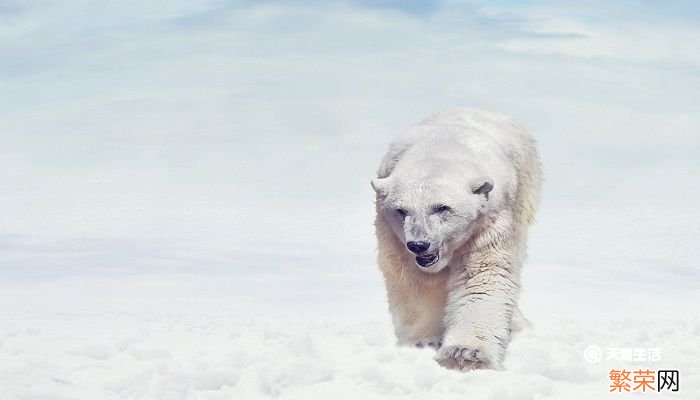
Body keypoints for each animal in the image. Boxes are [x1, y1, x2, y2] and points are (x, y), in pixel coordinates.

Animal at [372, 108, 540, 370]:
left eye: (442, 207)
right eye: (401, 210)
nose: (419, 244)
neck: (442, 149)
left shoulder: (490, 220)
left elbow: (482, 276)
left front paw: (466, 354)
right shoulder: (391, 233)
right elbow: (416, 280)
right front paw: (423, 342)